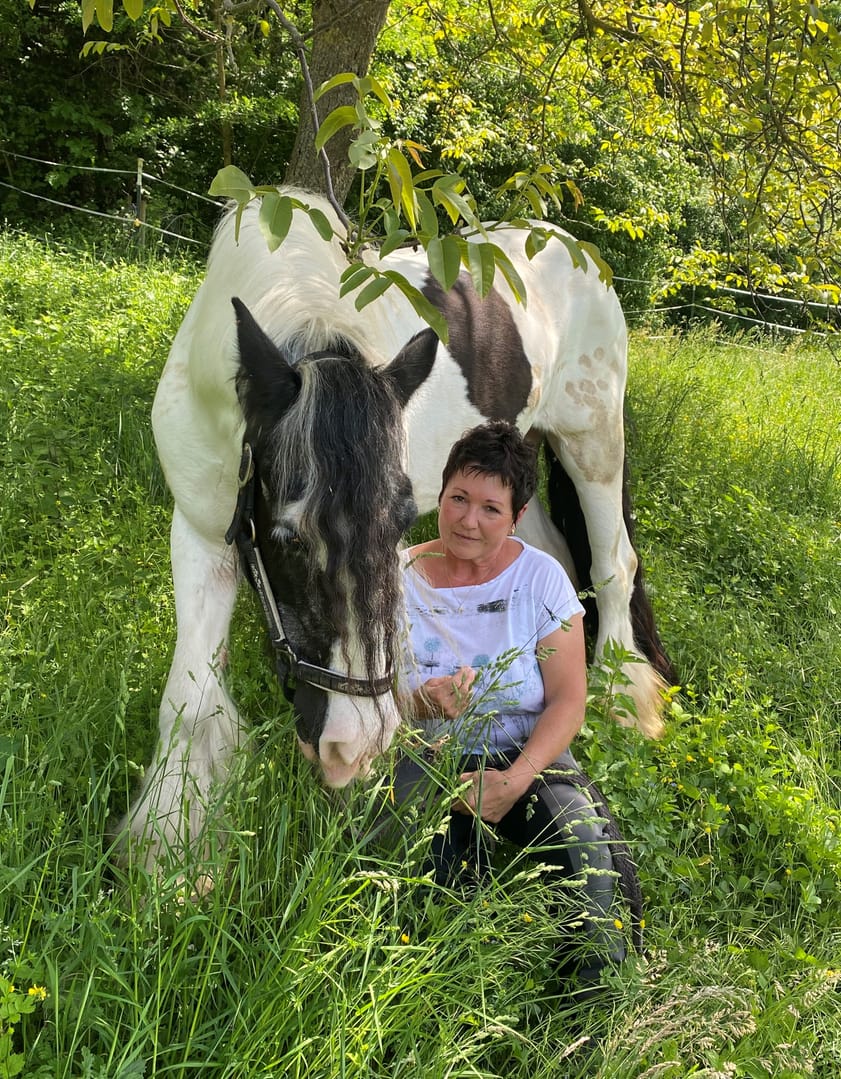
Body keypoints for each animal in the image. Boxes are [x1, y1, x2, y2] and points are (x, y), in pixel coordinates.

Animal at [125, 187, 673, 867]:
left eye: (397, 528)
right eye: (289, 539)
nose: (353, 745)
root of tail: (578, 250)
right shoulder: (199, 533)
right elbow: (189, 693)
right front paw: (172, 847)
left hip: (592, 438)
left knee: (613, 564)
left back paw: (623, 701)